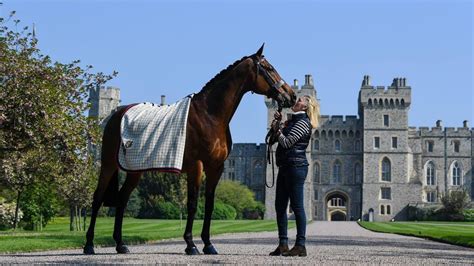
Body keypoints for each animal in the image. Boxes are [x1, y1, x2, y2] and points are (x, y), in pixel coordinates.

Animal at [83, 45, 294, 256]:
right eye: (270, 68)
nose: (291, 96)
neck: (210, 115)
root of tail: (115, 114)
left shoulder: (216, 167)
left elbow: (209, 204)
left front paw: (208, 244)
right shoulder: (196, 165)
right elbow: (192, 203)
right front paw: (191, 244)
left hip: (135, 170)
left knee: (122, 199)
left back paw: (120, 244)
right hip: (108, 163)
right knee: (97, 197)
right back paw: (89, 244)